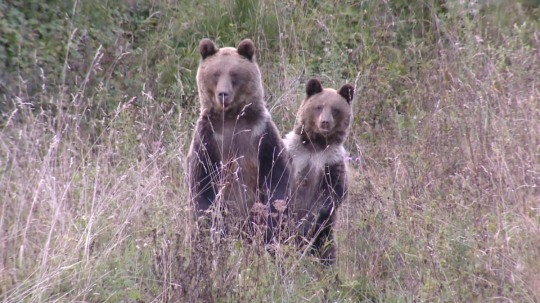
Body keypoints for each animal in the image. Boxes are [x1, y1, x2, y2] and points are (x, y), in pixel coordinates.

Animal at [187, 38, 288, 239]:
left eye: (234, 73)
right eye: (216, 73)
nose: (223, 94)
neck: (232, 118)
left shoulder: (260, 134)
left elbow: (276, 176)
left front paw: (273, 221)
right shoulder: (208, 140)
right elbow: (201, 182)